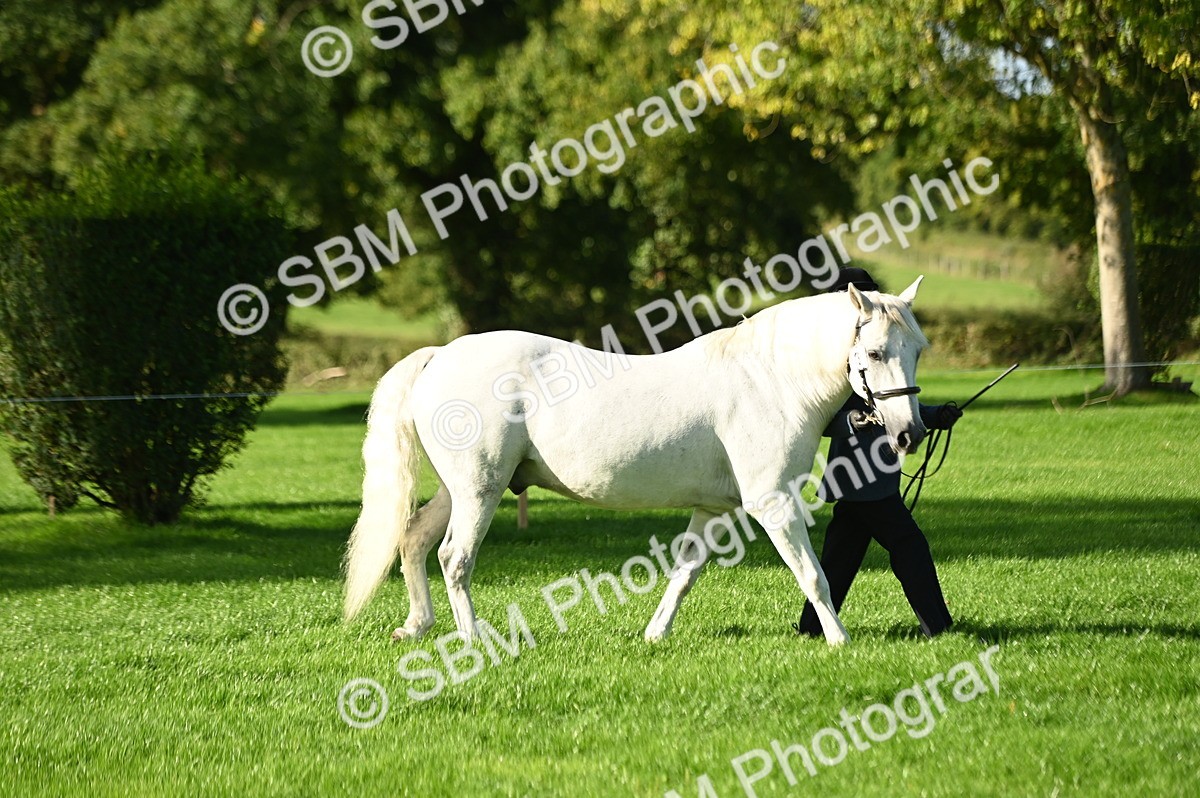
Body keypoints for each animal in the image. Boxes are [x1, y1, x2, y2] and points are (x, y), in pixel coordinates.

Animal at [343, 277, 929, 646]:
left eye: (918, 349)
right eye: (874, 352)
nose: (910, 433)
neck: (770, 379)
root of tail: (441, 355)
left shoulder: (713, 510)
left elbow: (685, 573)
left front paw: (654, 634)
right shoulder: (773, 502)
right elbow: (813, 574)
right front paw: (839, 640)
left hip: (461, 489)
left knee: (414, 539)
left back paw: (417, 626)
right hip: (477, 491)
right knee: (454, 558)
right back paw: (469, 641)